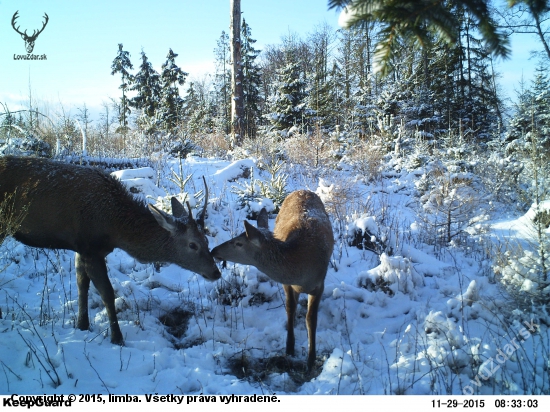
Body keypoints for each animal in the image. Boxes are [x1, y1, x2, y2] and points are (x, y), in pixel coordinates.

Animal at [0, 156, 220, 342]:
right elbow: (107, 292)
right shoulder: (91, 248)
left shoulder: (82, 249)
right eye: (192, 244)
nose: (215, 273)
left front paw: (82, 325)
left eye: (206, 240)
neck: (114, 230)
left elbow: (81, 285)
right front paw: (117, 337)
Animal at [212, 191, 334, 370]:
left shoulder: (319, 284)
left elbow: (311, 319)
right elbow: (290, 309)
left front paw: (310, 360)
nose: (213, 250)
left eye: (239, 243)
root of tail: (302, 190)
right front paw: (289, 348)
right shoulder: (287, 284)